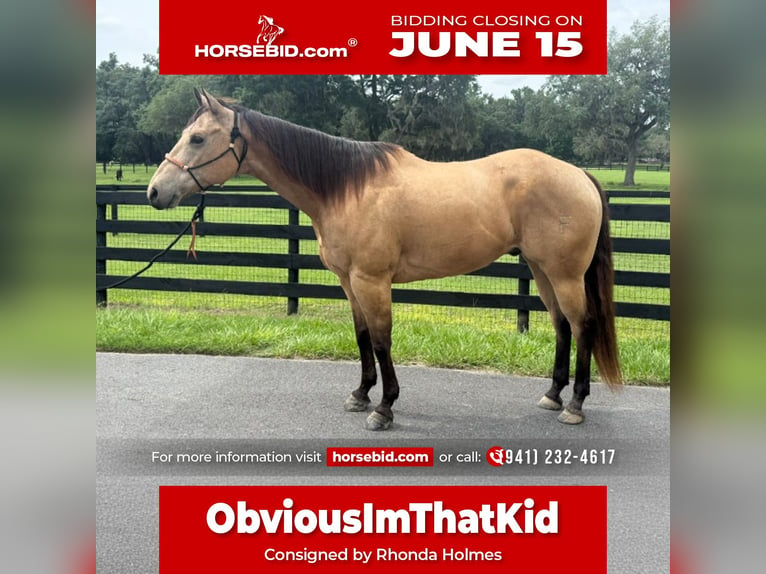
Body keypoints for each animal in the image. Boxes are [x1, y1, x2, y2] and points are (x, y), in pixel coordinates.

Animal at [147, 88, 622, 430]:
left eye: (197, 138)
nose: (154, 192)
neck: (344, 188)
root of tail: (578, 173)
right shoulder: (349, 282)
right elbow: (361, 339)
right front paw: (361, 395)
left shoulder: (372, 280)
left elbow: (381, 340)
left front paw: (385, 407)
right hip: (542, 270)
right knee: (562, 326)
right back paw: (553, 395)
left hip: (564, 273)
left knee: (582, 325)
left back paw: (575, 404)